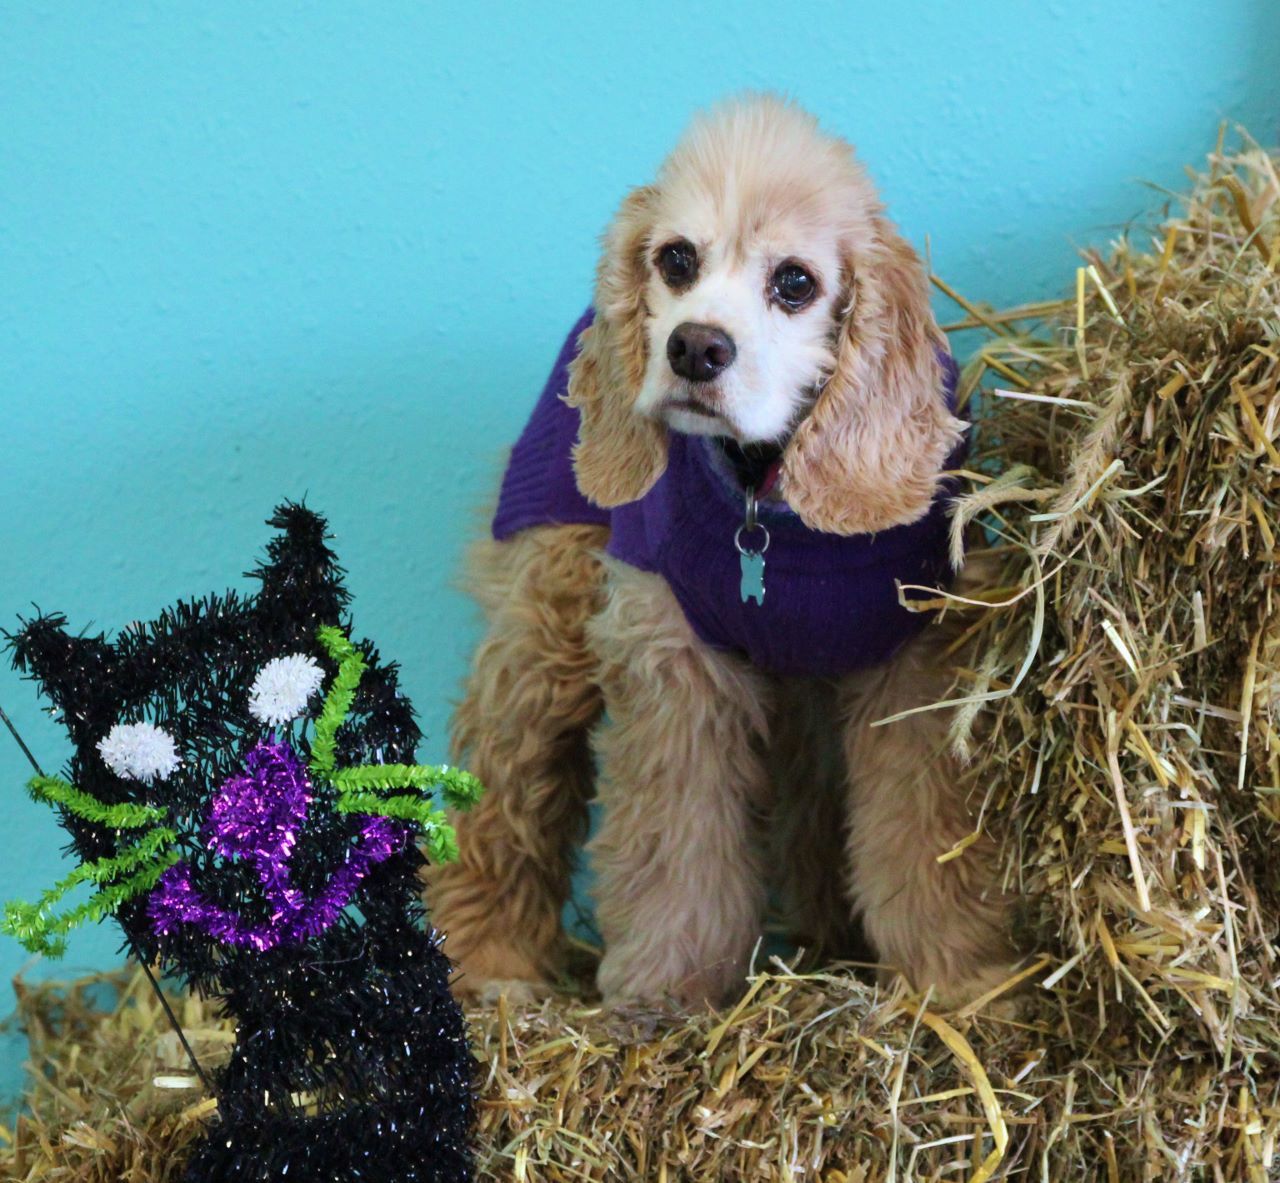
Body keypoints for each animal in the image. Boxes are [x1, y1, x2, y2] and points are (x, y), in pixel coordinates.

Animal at [428, 95, 1011, 1009]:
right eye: (676, 259)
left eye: (796, 283)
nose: (695, 346)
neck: (763, 499)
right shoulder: (672, 655)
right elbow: (678, 841)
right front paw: (666, 983)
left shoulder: (912, 658)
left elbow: (924, 834)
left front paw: (958, 973)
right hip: (551, 606)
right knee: (503, 784)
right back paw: (490, 958)